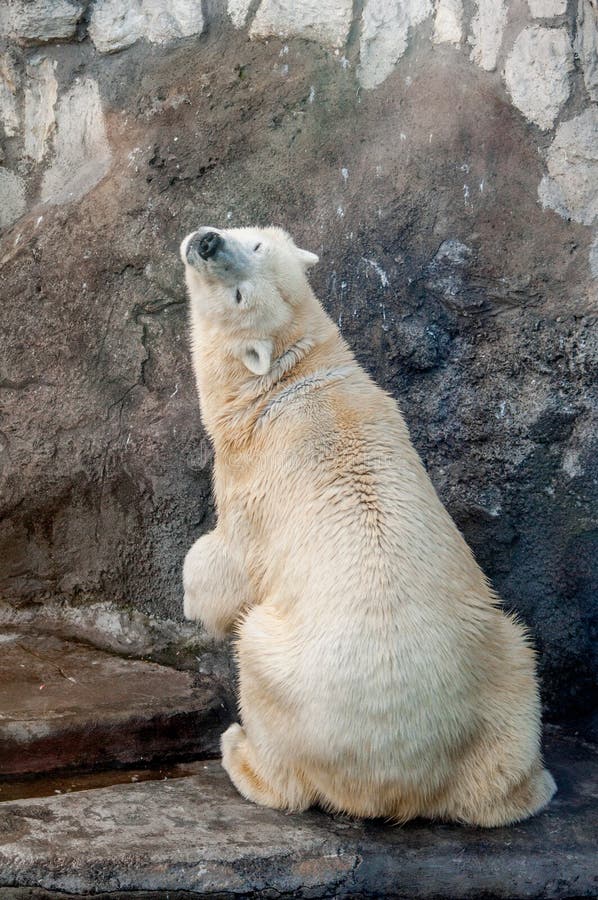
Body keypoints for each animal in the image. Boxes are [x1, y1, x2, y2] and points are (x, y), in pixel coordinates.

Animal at [179, 225, 556, 826]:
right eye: (255, 243)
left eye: (240, 294)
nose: (209, 242)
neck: (293, 380)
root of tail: (403, 779)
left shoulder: (251, 479)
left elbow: (225, 566)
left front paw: (194, 599)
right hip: (503, 671)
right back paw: (533, 787)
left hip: (289, 682)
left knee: (258, 669)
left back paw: (238, 750)